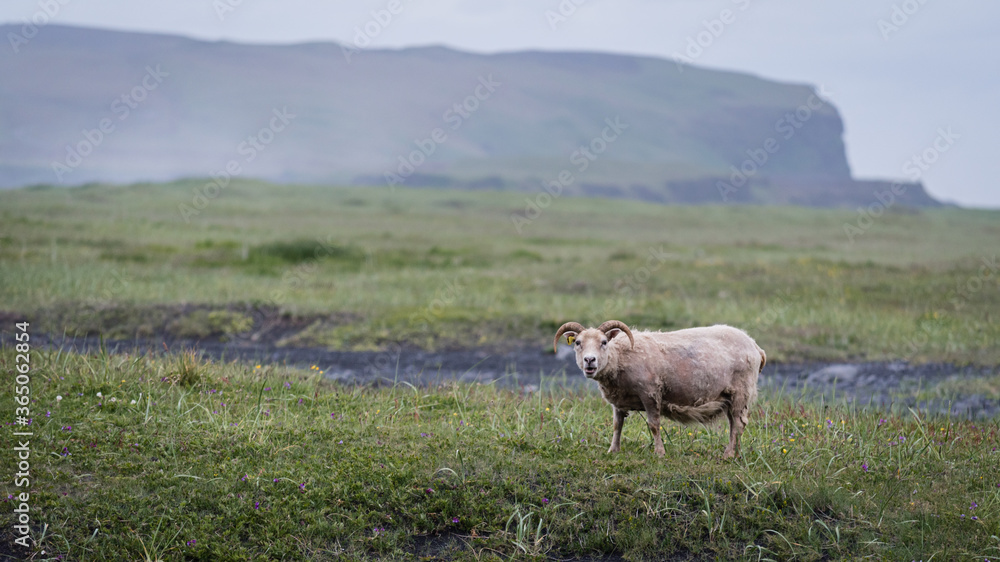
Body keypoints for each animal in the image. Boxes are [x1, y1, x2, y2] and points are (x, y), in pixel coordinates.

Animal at [554, 320, 765, 459]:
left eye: (604, 342)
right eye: (578, 343)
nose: (590, 360)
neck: (620, 356)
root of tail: (755, 346)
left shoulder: (650, 393)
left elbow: (654, 425)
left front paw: (659, 453)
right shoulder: (618, 400)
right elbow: (617, 425)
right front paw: (613, 450)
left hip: (741, 392)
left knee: (738, 425)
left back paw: (729, 454)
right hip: (730, 396)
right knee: (734, 424)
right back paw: (736, 452)